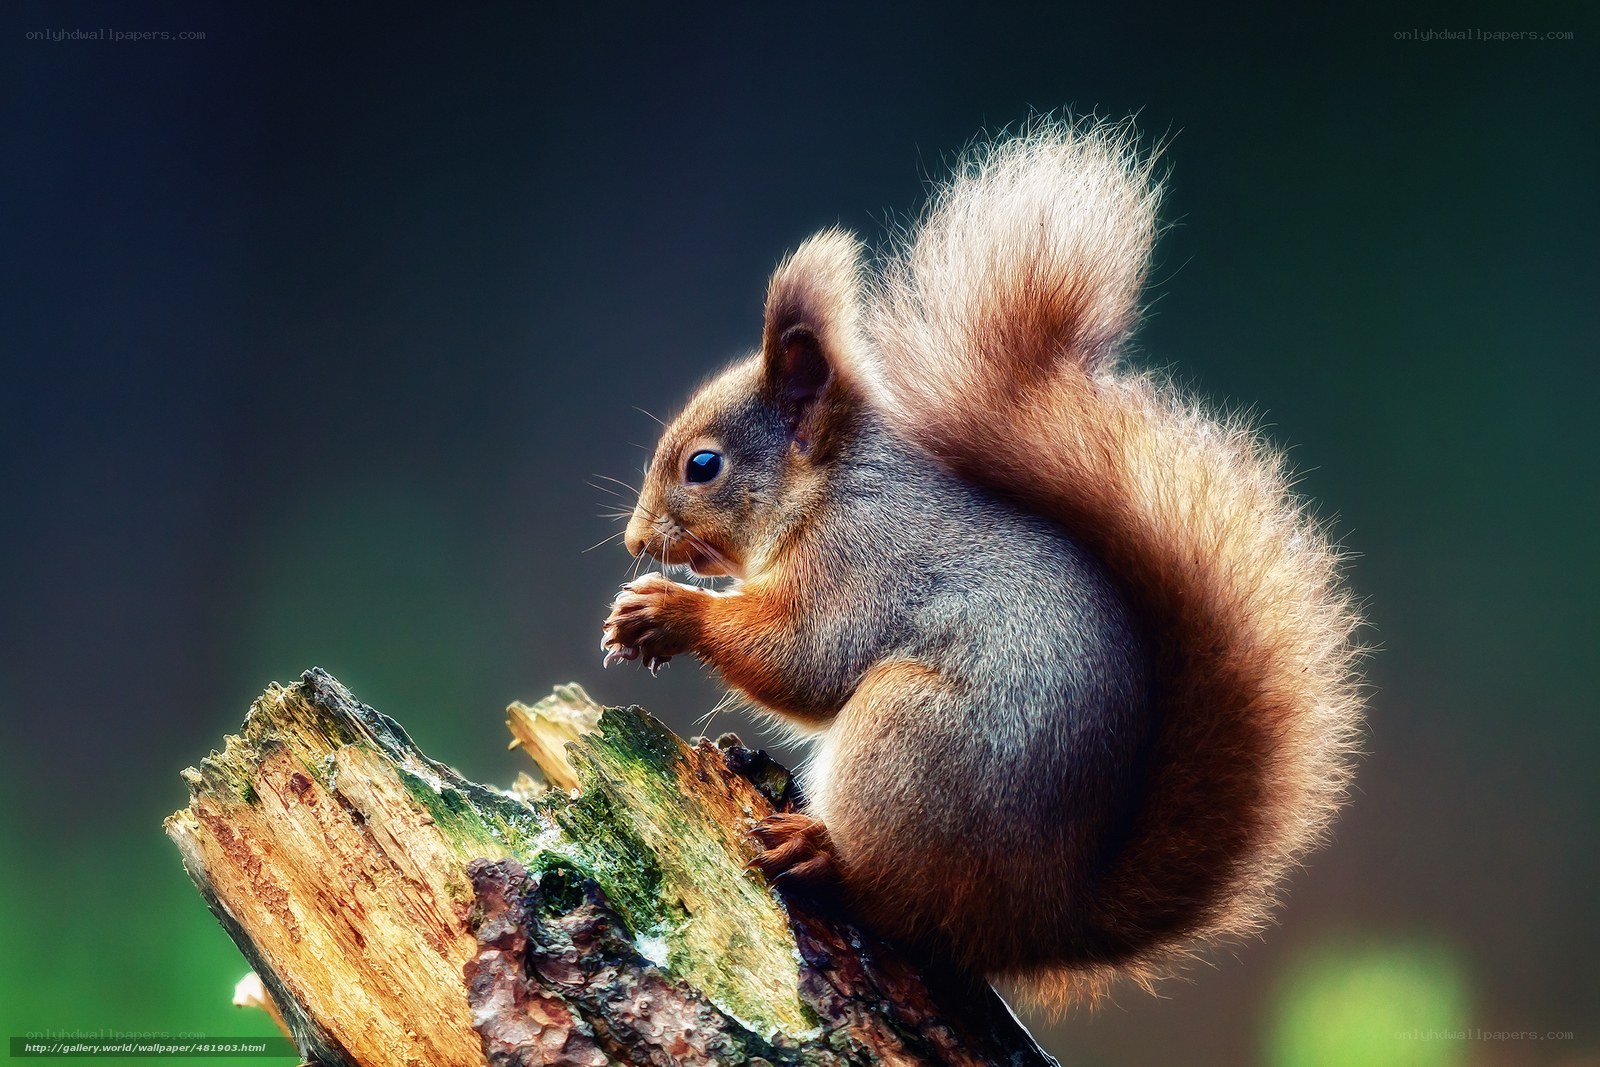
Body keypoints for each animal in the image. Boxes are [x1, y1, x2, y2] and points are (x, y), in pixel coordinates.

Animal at [600, 120, 1363, 1008]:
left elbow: (807, 659)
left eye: (703, 465)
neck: (830, 486)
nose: (634, 540)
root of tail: (1043, 920)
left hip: (911, 737)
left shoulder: (863, 559)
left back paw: (820, 854)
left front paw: (665, 610)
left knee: (897, 898)